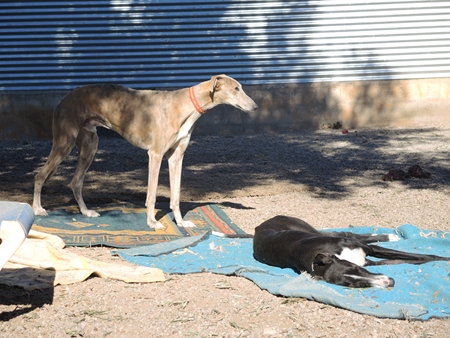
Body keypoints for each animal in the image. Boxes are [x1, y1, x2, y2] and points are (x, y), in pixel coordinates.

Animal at [32, 73, 256, 227]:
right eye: (236, 88)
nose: (255, 107)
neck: (185, 105)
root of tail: (63, 99)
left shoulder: (176, 157)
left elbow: (175, 196)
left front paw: (181, 223)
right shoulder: (155, 154)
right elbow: (152, 194)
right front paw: (152, 222)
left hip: (90, 146)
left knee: (75, 181)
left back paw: (86, 212)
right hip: (64, 143)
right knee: (40, 175)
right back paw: (37, 209)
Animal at [253, 217, 450, 288]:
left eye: (357, 269)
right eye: (353, 284)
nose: (389, 282)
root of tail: (258, 227)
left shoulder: (370, 251)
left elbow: (426, 256)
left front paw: (444, 258)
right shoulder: (372, 262)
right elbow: (413, 260)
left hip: (308, 228)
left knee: (346, 233)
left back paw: (390, 236)